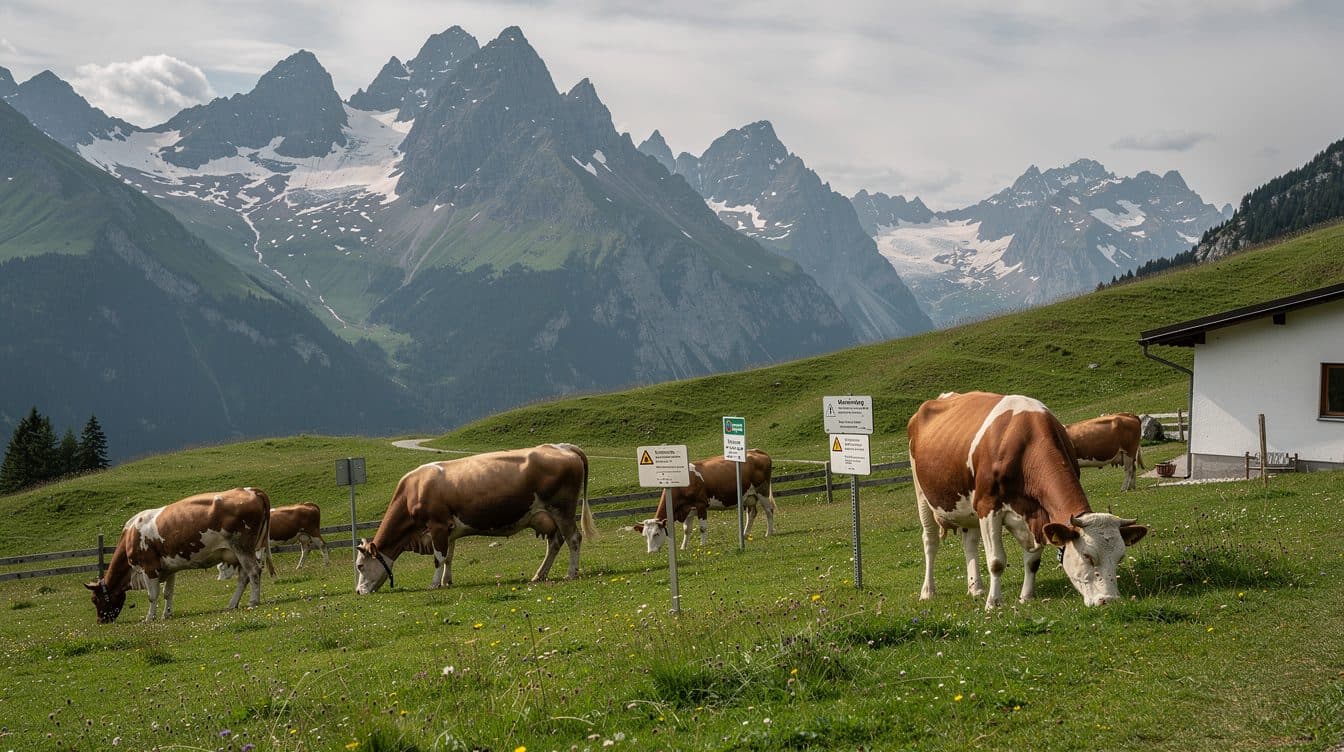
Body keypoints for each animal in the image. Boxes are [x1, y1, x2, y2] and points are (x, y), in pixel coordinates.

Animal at [85, 488, 275, 623]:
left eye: (94, 599)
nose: (100, 621)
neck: (130, 534)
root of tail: (250, 490)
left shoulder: (148, 567)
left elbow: (152, 595)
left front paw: (149, 618)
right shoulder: (169, 568)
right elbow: (168, 593)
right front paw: (167, 614)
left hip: (243, 547)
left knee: (253, 572)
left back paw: (253, 601)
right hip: (240, 551)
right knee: (244, 577)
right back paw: (232, 604)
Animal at [354, 443, 595, 594]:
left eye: (360, 566)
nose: (358, 591)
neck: (414, 490)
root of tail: (562, 446)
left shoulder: (437, 525)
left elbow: (438, 558)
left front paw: (434, 584)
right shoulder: (448, 530)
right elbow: (449, 557)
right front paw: (447, 581)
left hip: (562, 509)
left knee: (574, 538)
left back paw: (571, 573)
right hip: (547, 516)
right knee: (555, 543)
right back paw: (539, 575)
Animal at [633, 449, 775, 553]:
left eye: (656, 533)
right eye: (645, 535)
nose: (651, 552)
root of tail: (756, 451)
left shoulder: (701, 505)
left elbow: (702, 527)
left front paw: (703, 544)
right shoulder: (688, 509)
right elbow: (686, 529)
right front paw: (683, 547)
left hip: (762, 491)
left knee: (769, 511)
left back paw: (768, 533)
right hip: (748, 497)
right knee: (751, 513)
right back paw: (745, 534)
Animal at [908, 392, 1147, 609]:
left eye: (1120, 557)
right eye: (1088, 556)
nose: (1110, 600)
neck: (1025, 441)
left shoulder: (1039, 514)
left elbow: (1033, 561)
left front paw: (1026, 597)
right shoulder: (988, 506)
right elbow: (996, 561)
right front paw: (994, 603)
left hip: (967, 508)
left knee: (970, 543)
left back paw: (976, 587)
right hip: (923, 495)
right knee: (930, 541)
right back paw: (928, 591)